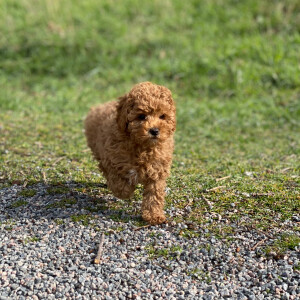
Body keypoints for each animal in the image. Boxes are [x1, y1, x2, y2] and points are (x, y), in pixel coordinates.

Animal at [84, 82, 176, 225]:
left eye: (162, 116)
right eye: (141, 116)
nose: (154, 131)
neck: (143, 147)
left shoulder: (157, 170)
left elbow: (154, 195)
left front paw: (153, 215)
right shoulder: (113, 160)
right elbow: (119, 184)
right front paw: (127, 189)